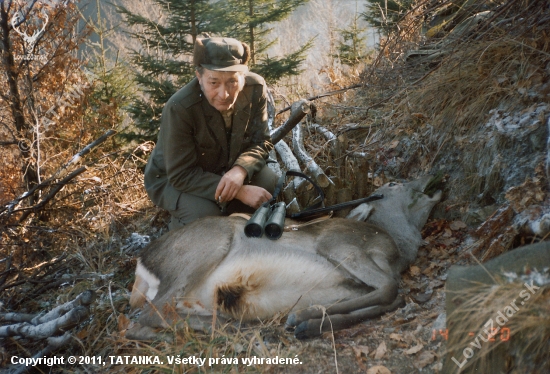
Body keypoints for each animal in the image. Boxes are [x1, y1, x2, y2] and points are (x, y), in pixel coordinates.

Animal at [129, 175, 444, 338]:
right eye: (393, 184)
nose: (431, 177)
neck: (398, 251)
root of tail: (142, 266)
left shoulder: (351, 286)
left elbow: (393, 298)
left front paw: (306, 321)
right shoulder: (340, 246)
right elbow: (392, 289)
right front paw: (303, 317)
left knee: (143, 323)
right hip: (208, 244)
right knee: (150, 312)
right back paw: (233, 328)